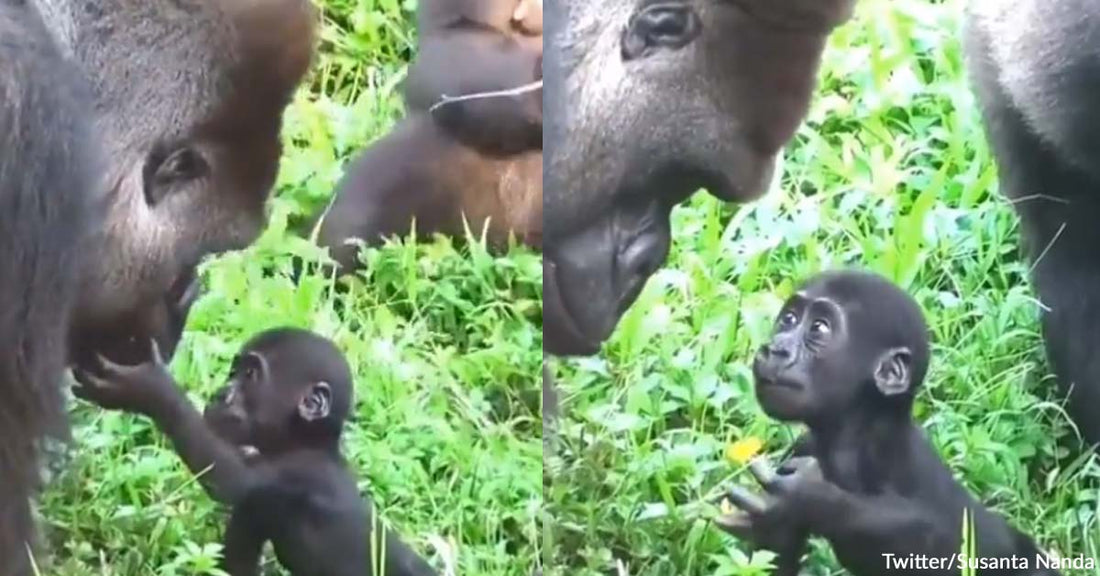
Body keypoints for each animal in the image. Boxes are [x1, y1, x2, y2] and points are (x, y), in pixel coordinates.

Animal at [67, 327, 437, 576]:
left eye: (250, 374)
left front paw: (149, 386)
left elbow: (235, 482)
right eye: (234, 372)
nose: (221, 393)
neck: (305, 441)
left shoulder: (296, 473)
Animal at [712, 272, 1056, 576]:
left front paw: (807, 496)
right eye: (789, 319)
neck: (856, 434)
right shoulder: (805, 445)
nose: (775, 348)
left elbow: (938, 535)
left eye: (819, 328)